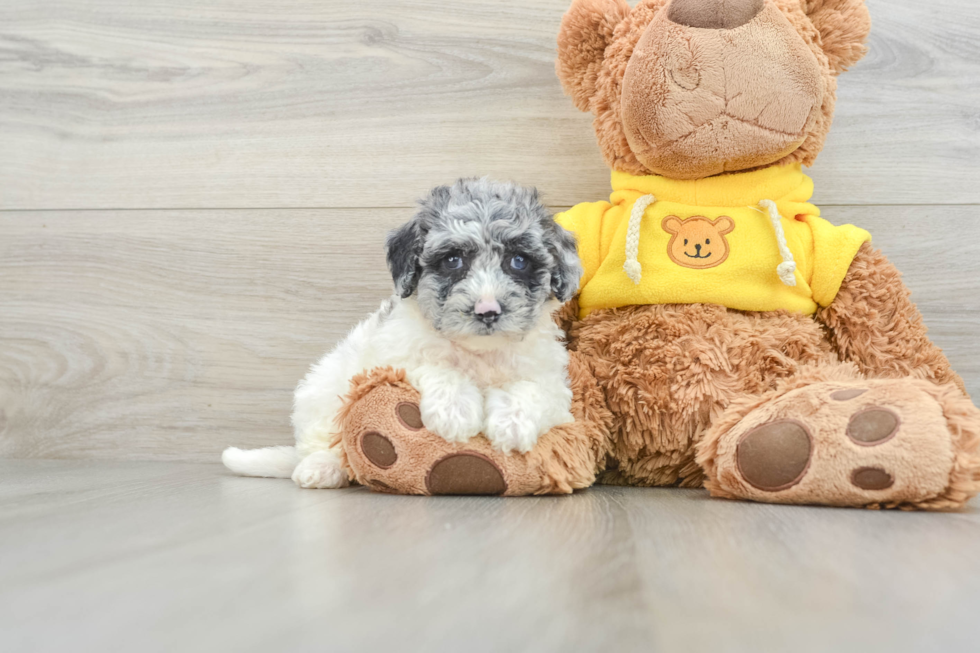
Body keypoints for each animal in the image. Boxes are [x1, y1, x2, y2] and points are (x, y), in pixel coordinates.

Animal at [224, 177, 580, 484]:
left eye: (519, 261)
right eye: (453, 260)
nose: (487, 310)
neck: (477, 353)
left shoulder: (551, 380)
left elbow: (532, 390)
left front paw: (512, 425)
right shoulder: (396, 357)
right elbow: (436, 367)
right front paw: (454, 411)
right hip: (324, 391)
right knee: (323, 440)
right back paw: (320, 468)